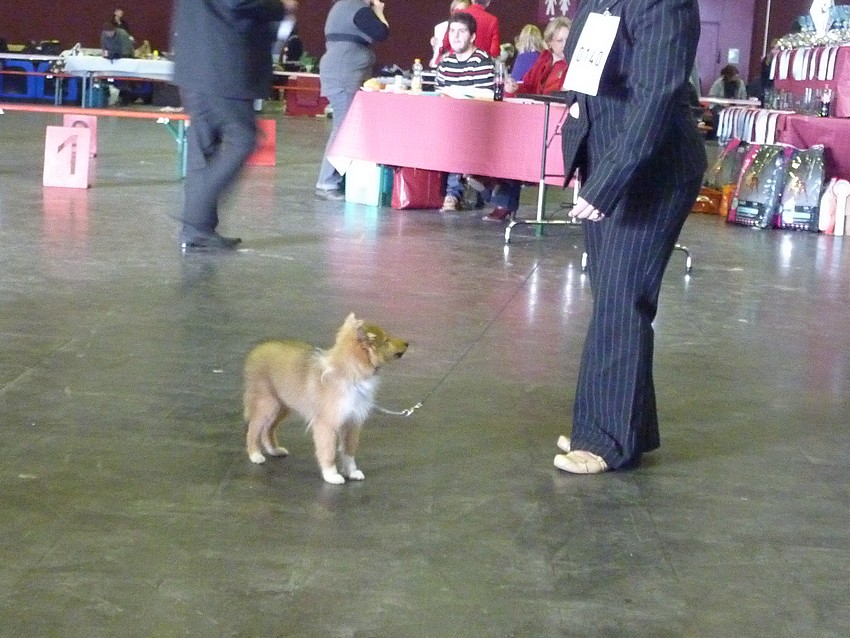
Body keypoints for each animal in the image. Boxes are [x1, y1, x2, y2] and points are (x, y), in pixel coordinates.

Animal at [242, 314, 408, 484]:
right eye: (386, 340)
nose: (407, 343)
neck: (351, 374)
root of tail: (256, 351)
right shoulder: (326, 424)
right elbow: (329, 451)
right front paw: (331, 475)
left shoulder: (352, 422)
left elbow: (349, 451)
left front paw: (352, 472)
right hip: (267, 404)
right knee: (254, 428)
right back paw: (255, 455)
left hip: (283, 405)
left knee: (268, 428)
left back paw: (274, 450)